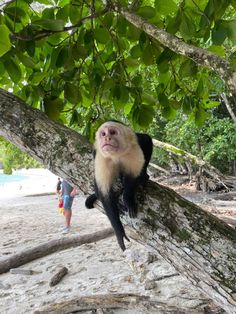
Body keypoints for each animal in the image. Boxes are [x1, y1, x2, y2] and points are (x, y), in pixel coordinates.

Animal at [85, 120, 153, 250]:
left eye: (112, 132)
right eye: (103, 134)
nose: (107, 138)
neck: (116, 155)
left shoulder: (133, 150)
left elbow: (132, 178)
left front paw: (128, 199)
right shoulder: (102, 159)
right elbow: (104, 194)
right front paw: (118, 230)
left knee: (146, 142)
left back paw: (143, 176)